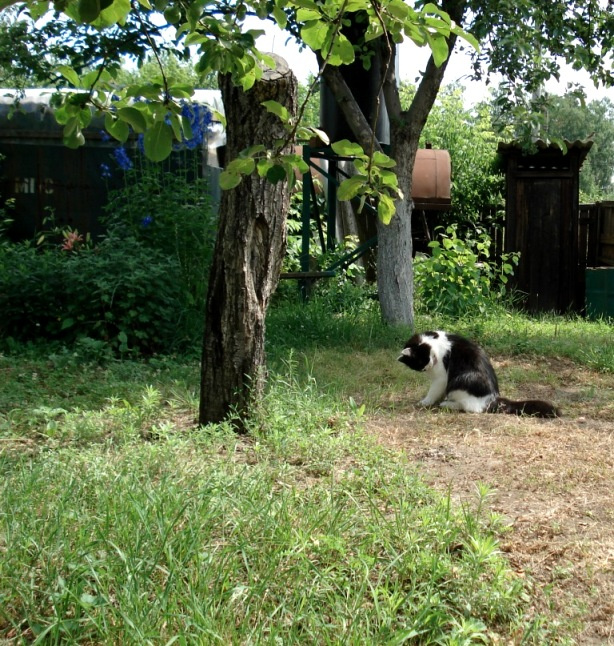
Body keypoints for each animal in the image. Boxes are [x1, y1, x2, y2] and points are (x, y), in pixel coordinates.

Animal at [398, 330, 561, 418]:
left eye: (421, 361)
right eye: (419, 365)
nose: (428, 366)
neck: (436, 345)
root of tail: (492, 399)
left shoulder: (442, 379)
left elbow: (432, 392)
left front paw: (425, 402)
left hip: (460, 381)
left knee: (472, 408)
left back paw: (448, 404)